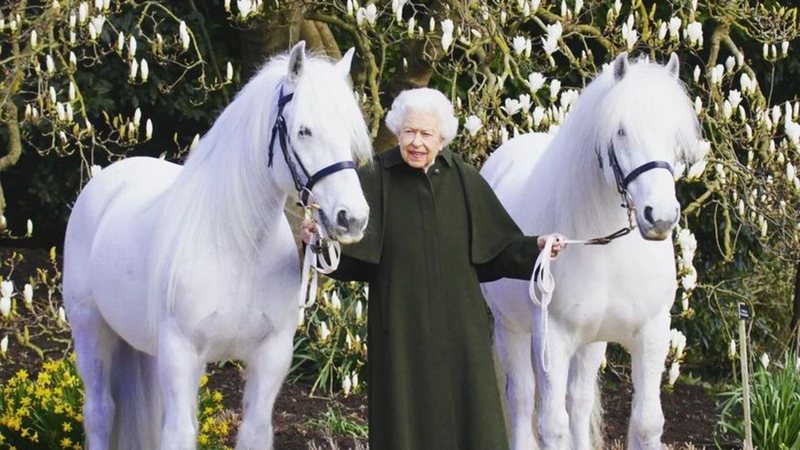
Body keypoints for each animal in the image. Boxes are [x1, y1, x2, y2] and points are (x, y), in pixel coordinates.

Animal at [63, 40, 372, 448]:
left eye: (350, 132)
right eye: (305, 130)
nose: (352, 218)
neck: (238, 247)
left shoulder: (271, 356)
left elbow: (254, 431)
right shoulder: (181, 355)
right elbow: (179, 433)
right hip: (90, 330)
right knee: (99, 412)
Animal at [482, 53, 700, 450]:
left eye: (673, 134)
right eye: (621, 131)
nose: (660, 217)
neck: (608, 250)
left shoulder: (652, 334)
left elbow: (646, 423)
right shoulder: (552, 337)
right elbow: (552, 426)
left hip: (590, 342)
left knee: (579, 402)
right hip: (512, 329)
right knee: (521, 397)